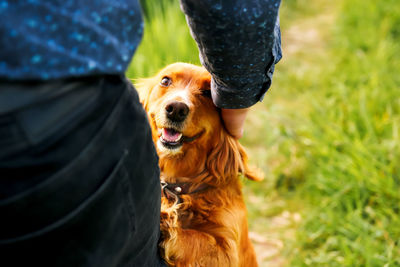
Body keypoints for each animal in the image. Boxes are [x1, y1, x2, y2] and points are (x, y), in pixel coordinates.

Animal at [138, 63, 262, 267]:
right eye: (165, 80)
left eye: (207, 93)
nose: (176, 108)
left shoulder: (228, 249)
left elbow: (199, 239)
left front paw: (167, 222)